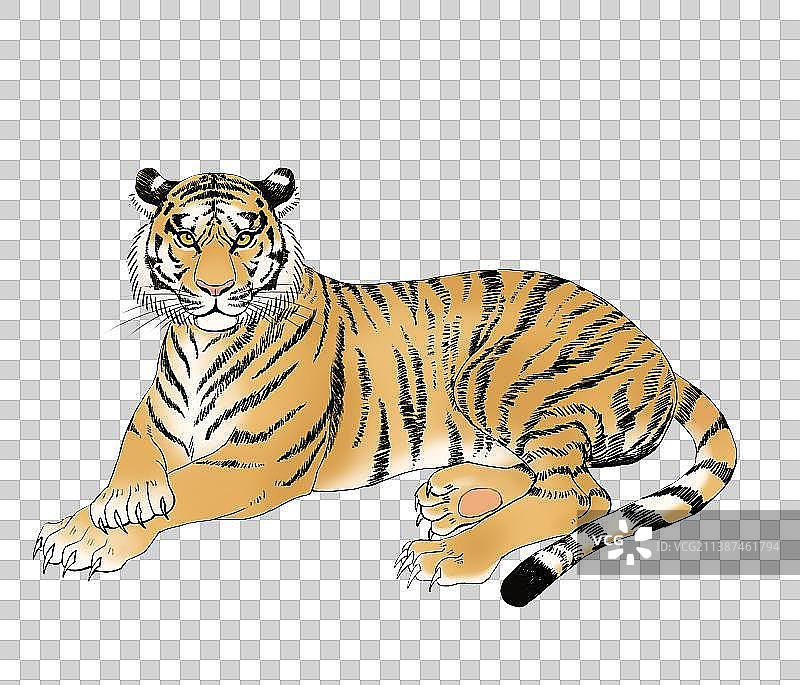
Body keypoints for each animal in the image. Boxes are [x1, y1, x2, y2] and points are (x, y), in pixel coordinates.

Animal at [34, 168, 736, 606]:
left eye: (244, 236)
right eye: (185, 234)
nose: (211, 290)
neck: (203, 343)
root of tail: (659, 353)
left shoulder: (261, 463)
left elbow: (181, 490)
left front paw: (98, 530)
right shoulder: (153, 424)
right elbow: (133, 466)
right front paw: (89, 521)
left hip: (510, 382)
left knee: (582, 494)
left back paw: (446, 554)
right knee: (551, 478)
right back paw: (451, 493)